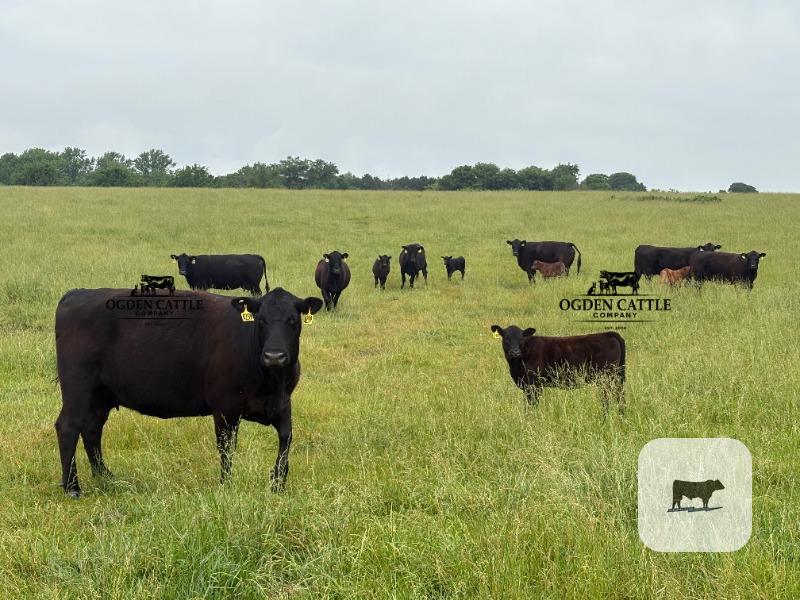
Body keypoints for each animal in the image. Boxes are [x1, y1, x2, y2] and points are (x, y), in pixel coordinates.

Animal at [54, 287, 323, 498]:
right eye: (261, 320)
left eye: (293, 320)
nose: (274, 356)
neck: (272, 382)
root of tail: (78, 293)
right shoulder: (225, 408)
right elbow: (226, 449)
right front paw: (226, 486)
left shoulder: (283, 403)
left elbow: (286, 439)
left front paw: (278, 484)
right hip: (78, 385)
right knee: (68, 426)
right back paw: (72, 487)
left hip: (101, 394)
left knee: (91, 428)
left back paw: (105, 475)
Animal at [490, 324, 626, 413]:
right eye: (506, 339)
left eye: (522, 339)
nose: (515, 352)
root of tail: (608, 334)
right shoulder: (526, 385)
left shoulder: (534, 384)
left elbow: (532, 405)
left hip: (607, 378)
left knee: (608, 397)